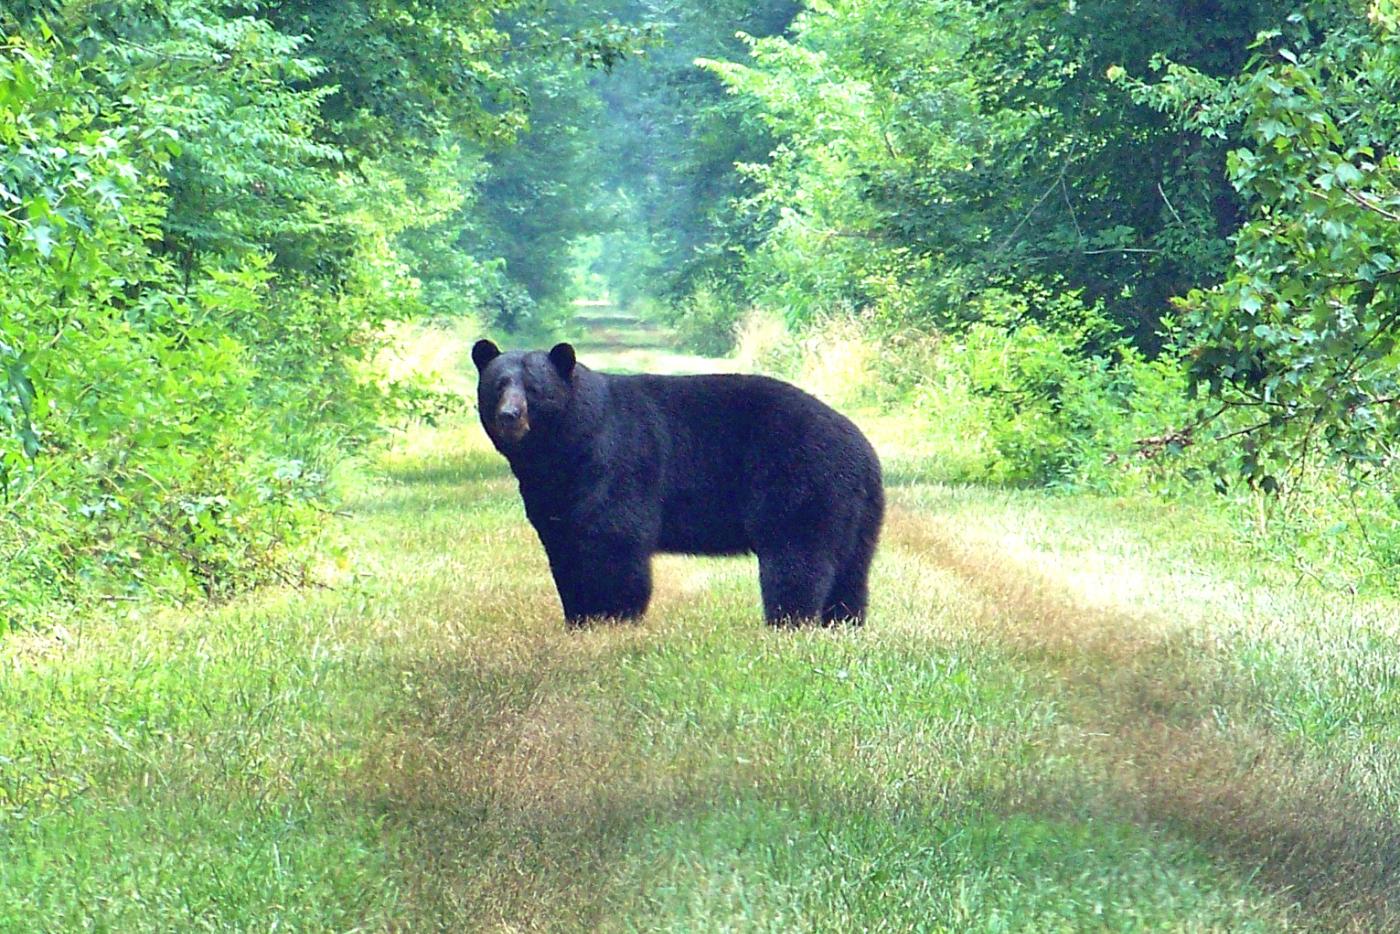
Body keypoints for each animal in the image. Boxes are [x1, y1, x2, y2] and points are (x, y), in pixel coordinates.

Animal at [472, 339, 884, 628]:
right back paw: (843, 622)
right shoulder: (552, 490)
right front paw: (579, 618)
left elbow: (614, 539)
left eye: (534, 388)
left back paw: (788, 621)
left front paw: (613, 617)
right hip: (855, 509)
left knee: (797, 556)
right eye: (498, 385)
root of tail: (862, 449)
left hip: (800, 483)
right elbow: (564, 546)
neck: (567, 447)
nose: (510, 415)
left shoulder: (616, 462)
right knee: (851, 566)